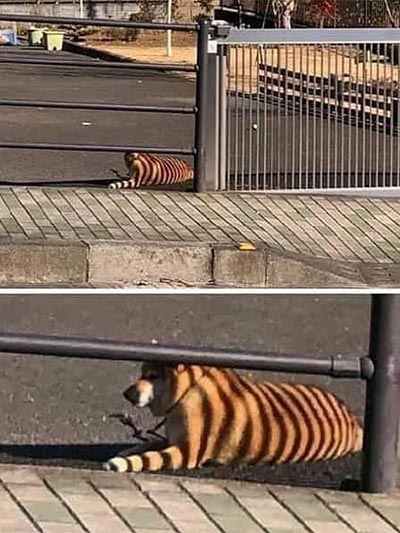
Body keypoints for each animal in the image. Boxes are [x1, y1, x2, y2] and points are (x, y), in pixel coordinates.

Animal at [104, 362, 363, 474]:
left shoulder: (188, 452)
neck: (187, 390)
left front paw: (121, 462)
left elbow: (149, 458)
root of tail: (354, 423)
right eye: (142, 373)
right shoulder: (173, 437)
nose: (126, 394)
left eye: (153, 376)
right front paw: (129, 449)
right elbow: (150, 443)